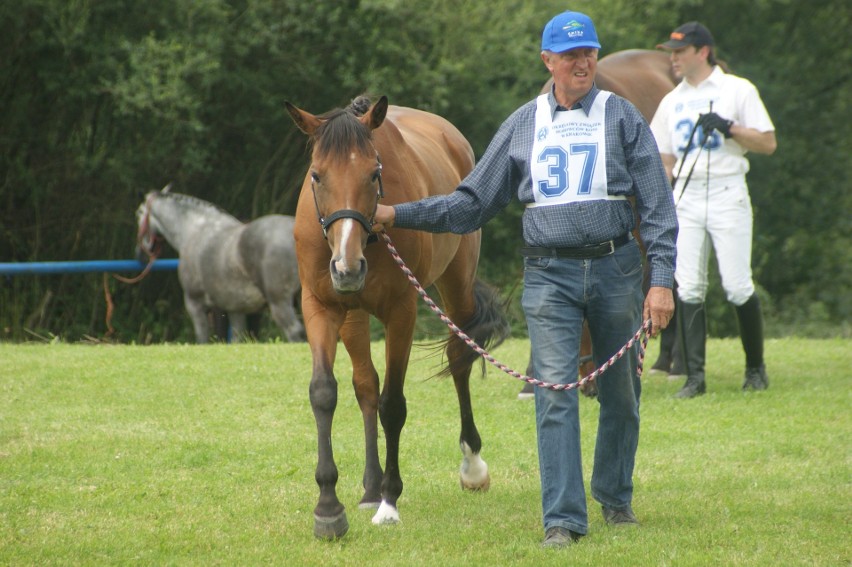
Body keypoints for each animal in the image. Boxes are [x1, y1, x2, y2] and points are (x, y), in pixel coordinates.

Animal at [135, 189, 304, 344]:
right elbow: (237, 338)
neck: (194, 230)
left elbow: (202, 338)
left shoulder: (195, 304)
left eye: (139, 214)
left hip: (280, 303)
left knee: (295, 332)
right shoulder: (236, 310)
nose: (140, 254)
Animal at [286, 95, 510, 540]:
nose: (347, 267)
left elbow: (393, 405)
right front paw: (328, 507)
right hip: (353, 317)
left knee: (459, 358)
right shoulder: (321, 308)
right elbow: (325, 393)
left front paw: (390, 502)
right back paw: (370, 487)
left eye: (374, 174)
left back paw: (471, 466)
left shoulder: (402, 312)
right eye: (316, 176)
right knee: (366, 386)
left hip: (455, 282)